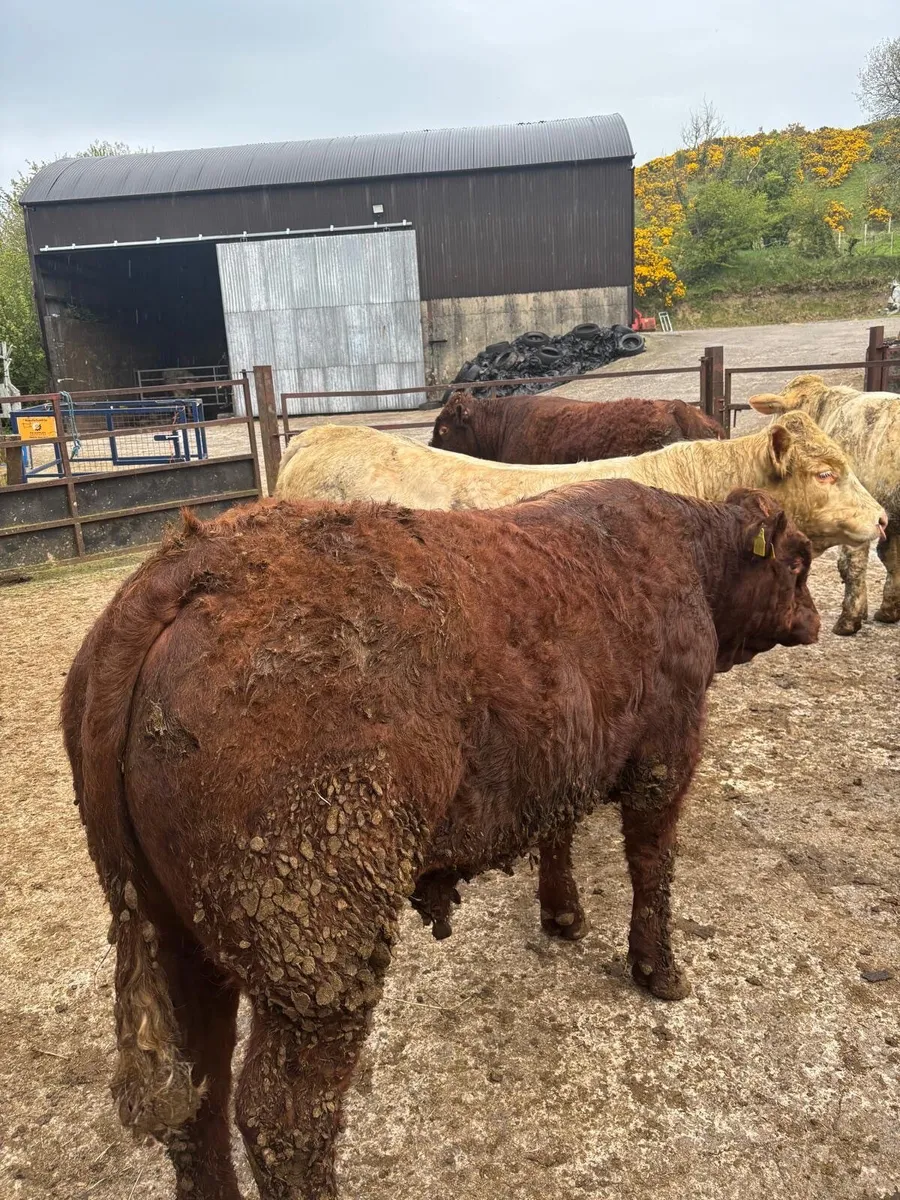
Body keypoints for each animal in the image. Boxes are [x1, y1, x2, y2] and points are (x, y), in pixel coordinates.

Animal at [63, 481, 819, 1200]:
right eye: (800, 560)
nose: (814, 619)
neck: (684, 551)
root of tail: (184, 568)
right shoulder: (665, 758)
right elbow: (652, 865)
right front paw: (658, 969)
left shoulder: (563, 756)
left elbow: (561, 831)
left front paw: (563, 914)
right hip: (318, 961)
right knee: (284, 1121)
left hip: (173, 936)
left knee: (201, 1095)